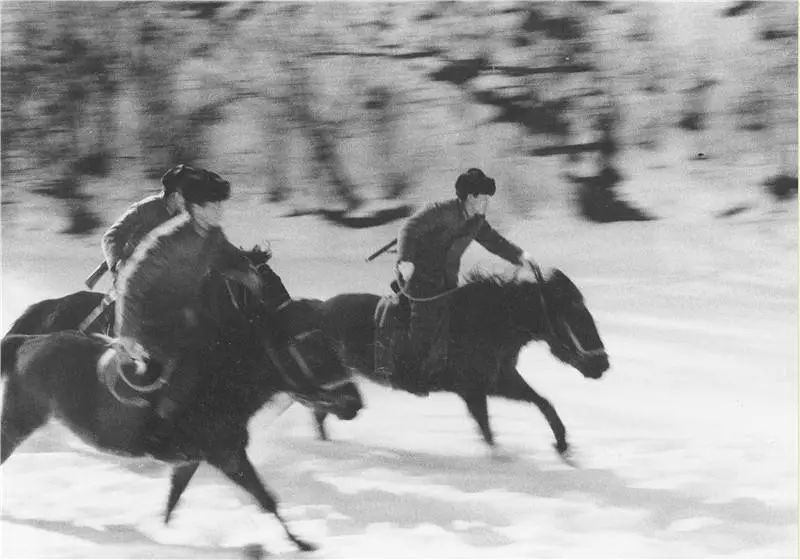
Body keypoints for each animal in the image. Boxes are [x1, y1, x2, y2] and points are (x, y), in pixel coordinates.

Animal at [0, 254, 362, 552]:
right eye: (315, 354)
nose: (354, 401)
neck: (223, 379)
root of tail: (28, 341)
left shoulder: (191, 460)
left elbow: (173, 502)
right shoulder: (227, 455)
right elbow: (266, 499)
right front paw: (301, 543)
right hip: (20, 420)